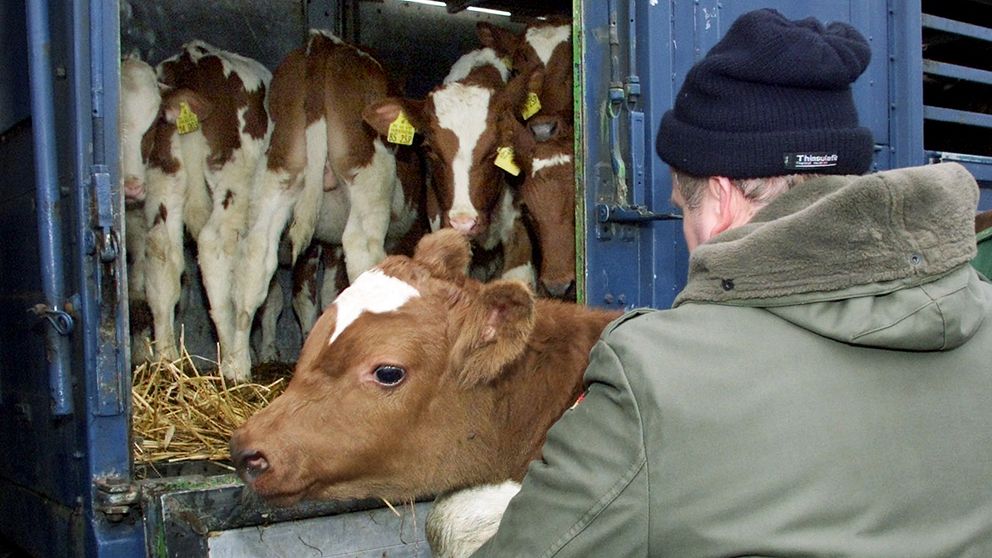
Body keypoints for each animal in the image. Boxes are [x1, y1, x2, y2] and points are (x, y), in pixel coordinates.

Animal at [229, 31, 426, 384]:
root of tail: (325, 44)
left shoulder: (325, 245)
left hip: (279, 170)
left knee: (255, 257)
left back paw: (237, 370)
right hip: (369, 176)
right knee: (361, 251)